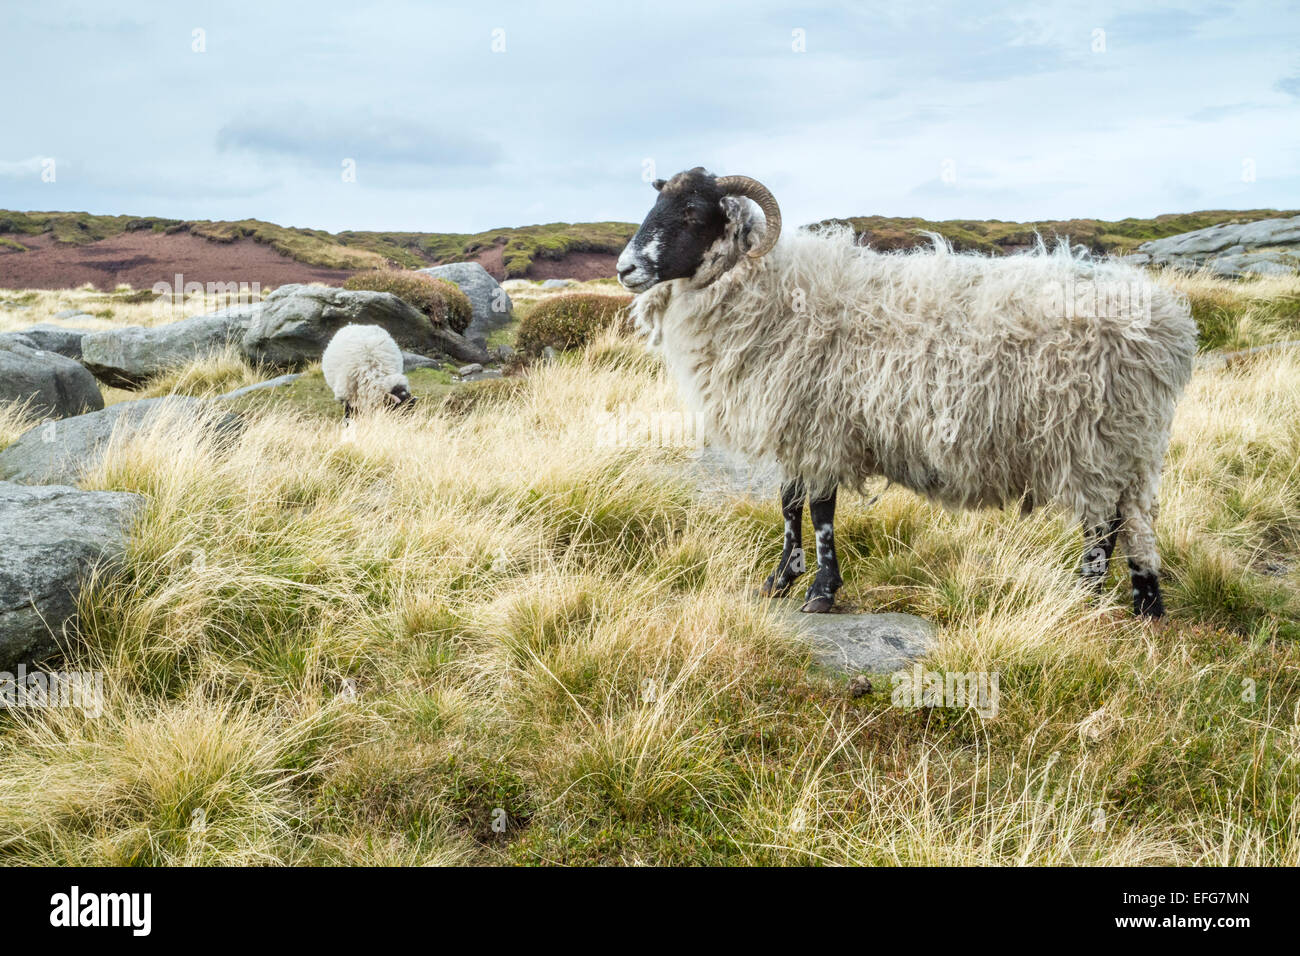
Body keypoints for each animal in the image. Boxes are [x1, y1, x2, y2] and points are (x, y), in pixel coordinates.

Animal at [618, 170, 1196, 621]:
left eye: (693, 212)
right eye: (656, 203)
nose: (624, 269)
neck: (775, 290)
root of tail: (1168, 328)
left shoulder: (823, 427)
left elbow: (821, 511)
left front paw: (820, 592)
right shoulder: (798, 428)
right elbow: (789, 504)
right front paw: (780, 580)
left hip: (1092, 439)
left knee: (1101, 525)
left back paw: (1086, 600)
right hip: (1129, 443)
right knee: (1134, 520)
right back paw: (1146, 605)